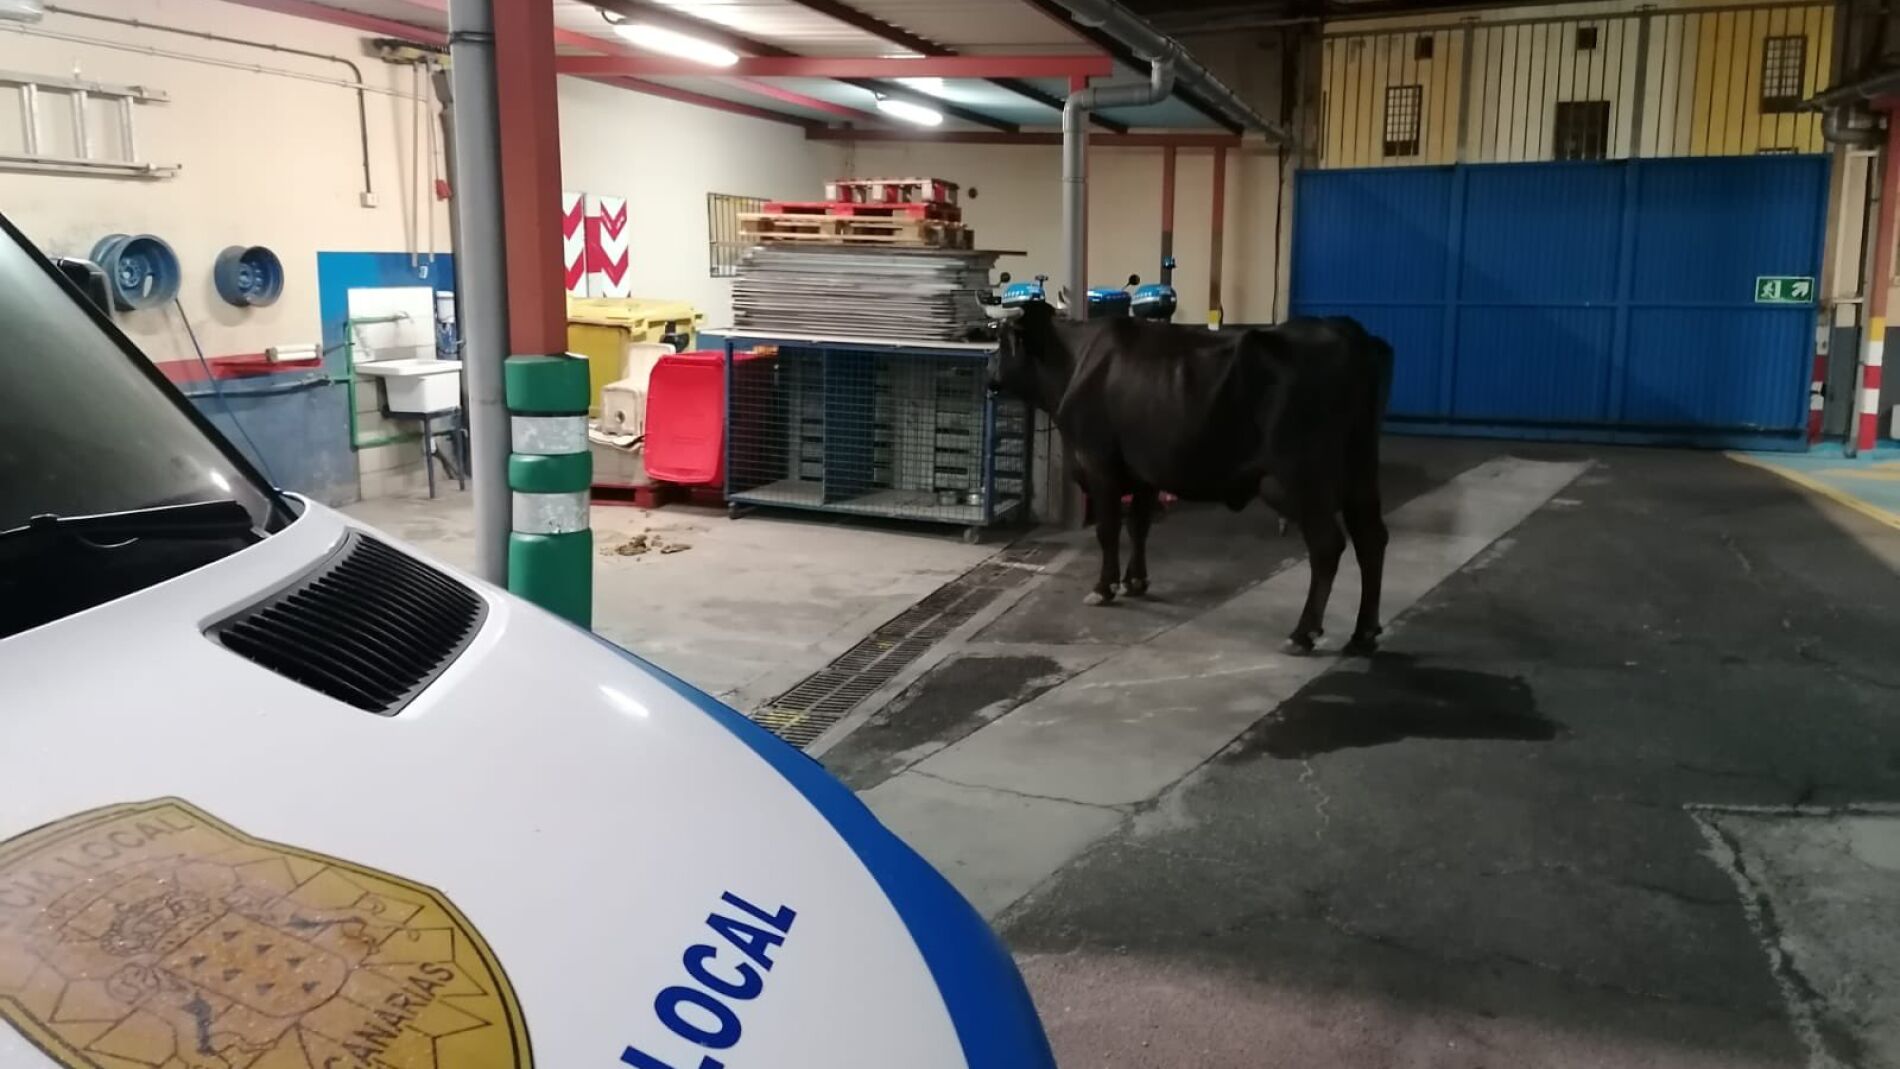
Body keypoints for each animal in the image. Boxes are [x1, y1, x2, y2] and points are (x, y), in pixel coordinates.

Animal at [984, 300, 1394, 655]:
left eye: (1002, 340)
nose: (989, 378)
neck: (1074, 361)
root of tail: (1347, 330)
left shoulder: (1099, 464)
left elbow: (1108, 530)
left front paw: (1104, 587)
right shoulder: (1145, 471)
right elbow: (1139, 526)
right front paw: (1136, 581)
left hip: (1299, 478)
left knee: (1328, 545)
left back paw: (1303, 633)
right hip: (1360, 468)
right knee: (1371, 538)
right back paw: (1363, 633)